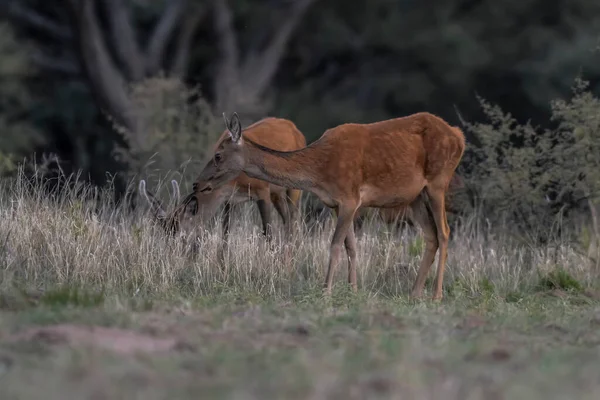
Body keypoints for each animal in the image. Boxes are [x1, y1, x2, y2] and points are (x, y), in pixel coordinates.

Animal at [137, 115, 304, 245]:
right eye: (165, 234)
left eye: (182, 235)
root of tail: (296, 128)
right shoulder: (228, 199)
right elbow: (225, 236)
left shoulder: (262, 190)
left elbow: (268, 233)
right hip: (277, 193)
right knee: (287, 220)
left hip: (294, 188)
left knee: (294, 221)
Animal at [195, 111, 466, 298]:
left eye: (218, 156)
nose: (199, 183)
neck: (319, 173)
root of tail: (459, 136)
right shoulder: (337, 204)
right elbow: (351, 247)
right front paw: (353, 290)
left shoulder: (349, 198)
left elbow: (335, 245)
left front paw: (326, 290)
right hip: (415, 196)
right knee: (431, 236)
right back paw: (414, 292)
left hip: (438, 182)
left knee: (444, 232)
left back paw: (436, 295)